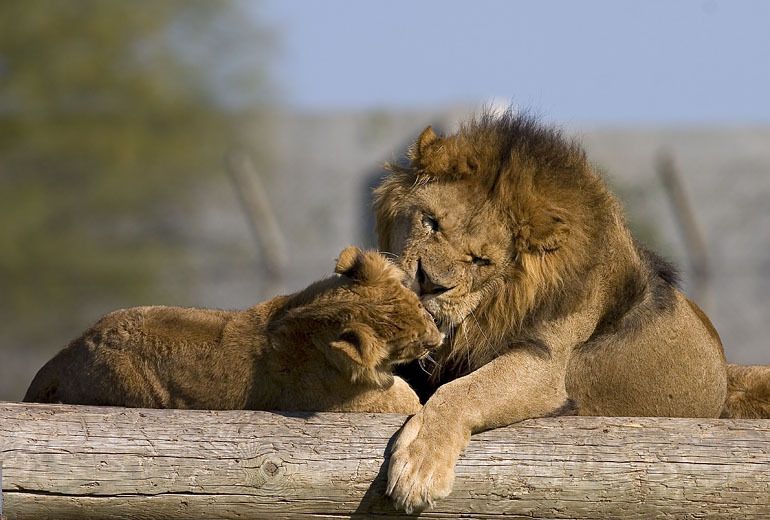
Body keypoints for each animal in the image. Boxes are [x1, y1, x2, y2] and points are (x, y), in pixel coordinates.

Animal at [24, 246, 440, 412]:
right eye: (412, 344)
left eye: (421, 307)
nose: (438, 338)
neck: (307, 319)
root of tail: (51, 366)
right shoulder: (352, 404)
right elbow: (405, 399)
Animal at [376, 109, 768, 512]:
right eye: (431, 222)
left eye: (481, 260)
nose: (428, 282)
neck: (488, 306)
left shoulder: (544, 364)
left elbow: (463, 392)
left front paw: (419, 466)